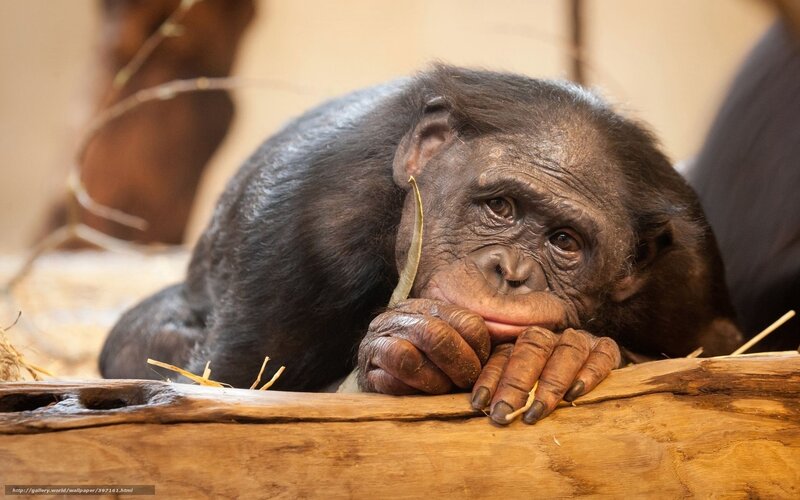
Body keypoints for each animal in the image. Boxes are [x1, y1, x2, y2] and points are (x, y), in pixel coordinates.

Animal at [100, 65, 742, 425]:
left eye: (564, 241)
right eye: (500, 207)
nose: (511, 270)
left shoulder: (686, 279)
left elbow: (719, 354)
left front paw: (563, 354)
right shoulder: (297, 231)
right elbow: (227, 386)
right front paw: (410, 341)